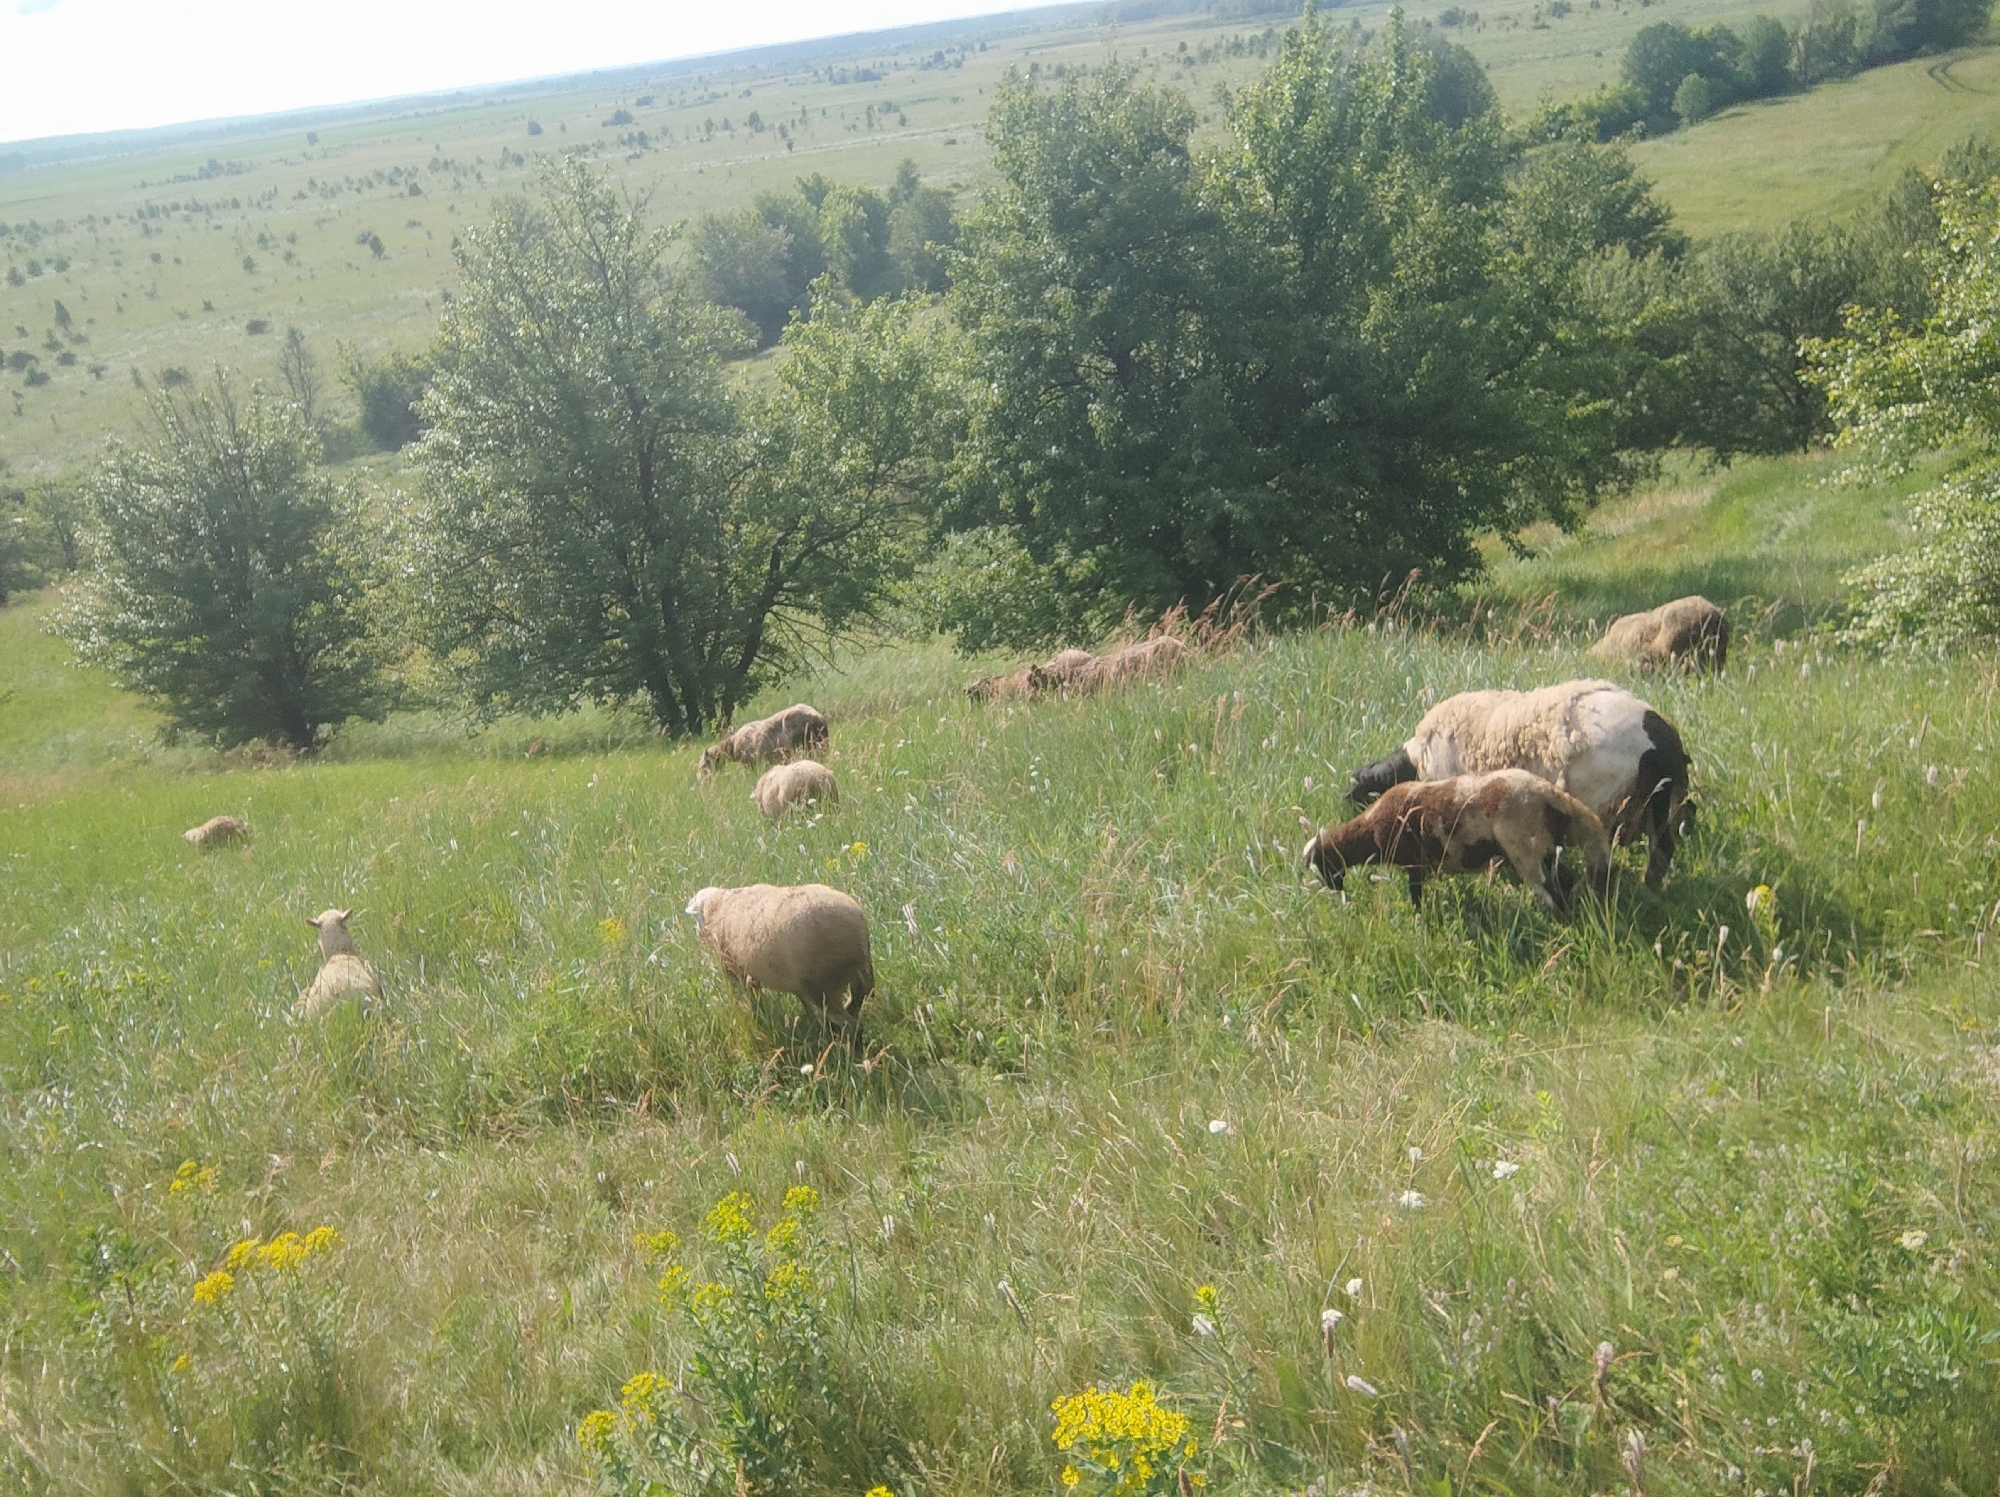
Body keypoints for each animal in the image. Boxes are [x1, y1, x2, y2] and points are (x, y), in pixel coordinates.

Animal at [684, 883, 874, 1037]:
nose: (698, 934)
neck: (718, 906)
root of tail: (855, 922)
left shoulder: (736, 968)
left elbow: (753, 998)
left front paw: (758, 1020)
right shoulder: (793, 980)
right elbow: (803, 1001)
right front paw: (814, 1027)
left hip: (822, 983)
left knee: (850, 1025)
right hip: (858, 971)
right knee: (859, 997)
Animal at [697, 704, 828, 775]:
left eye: (704, 765)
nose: (705, 782)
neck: (732, 745)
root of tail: (819, 718)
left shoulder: (751, 763)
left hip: (805, 745)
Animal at [1303, 769, 1611, 916]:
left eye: (1318, 862)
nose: (1334, 890)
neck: (1369, 830)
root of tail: (1550, 794)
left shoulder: (1414, 864)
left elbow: (1415, 896)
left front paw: (1420, 920)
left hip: (1525, 848)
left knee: (1552, 891)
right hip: (1546, 847)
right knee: (1564, 881)